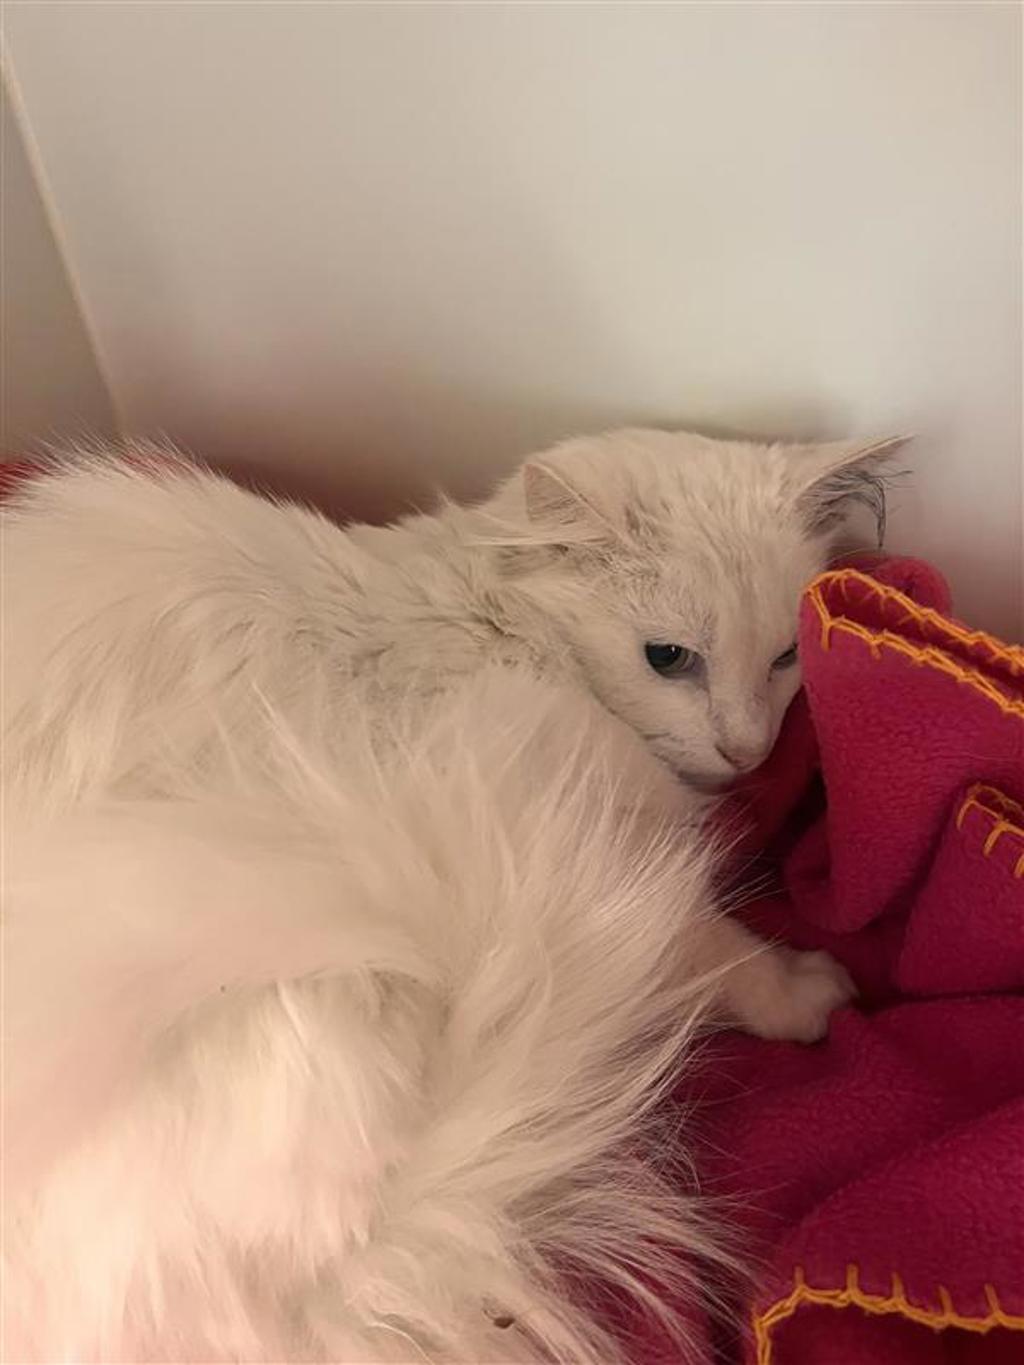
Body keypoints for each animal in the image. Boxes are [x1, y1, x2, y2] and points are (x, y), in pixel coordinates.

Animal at [1, 427, 902, 1362]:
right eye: (669, 658)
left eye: (786, 658)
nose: (747, 750)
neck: (494, 622)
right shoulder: (576, 842)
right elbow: (725, 951)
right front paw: (807, 992)